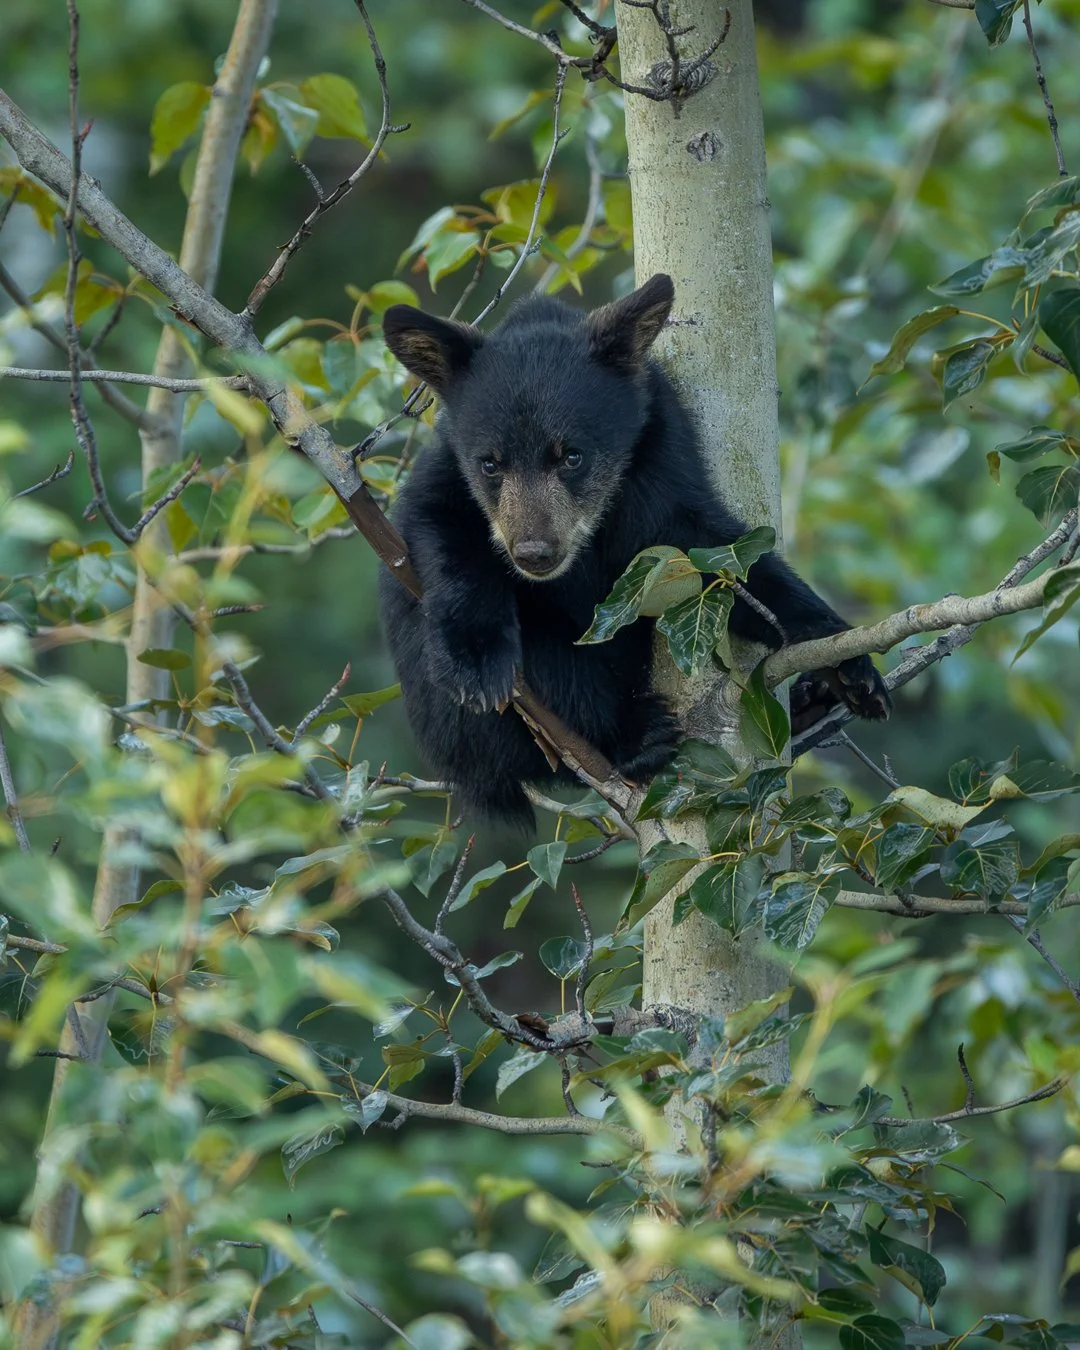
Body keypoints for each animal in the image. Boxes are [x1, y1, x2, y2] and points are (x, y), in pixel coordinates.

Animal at [378, 274, 889, 828]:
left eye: (572, 456)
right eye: (490, 464)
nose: (533, 552)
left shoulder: (660, 452)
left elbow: (716, 551)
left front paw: (848, 663)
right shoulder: (445, 471)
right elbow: (436, 528)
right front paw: (476, 661)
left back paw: (809, 701)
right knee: (555, 674)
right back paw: (638, 737)